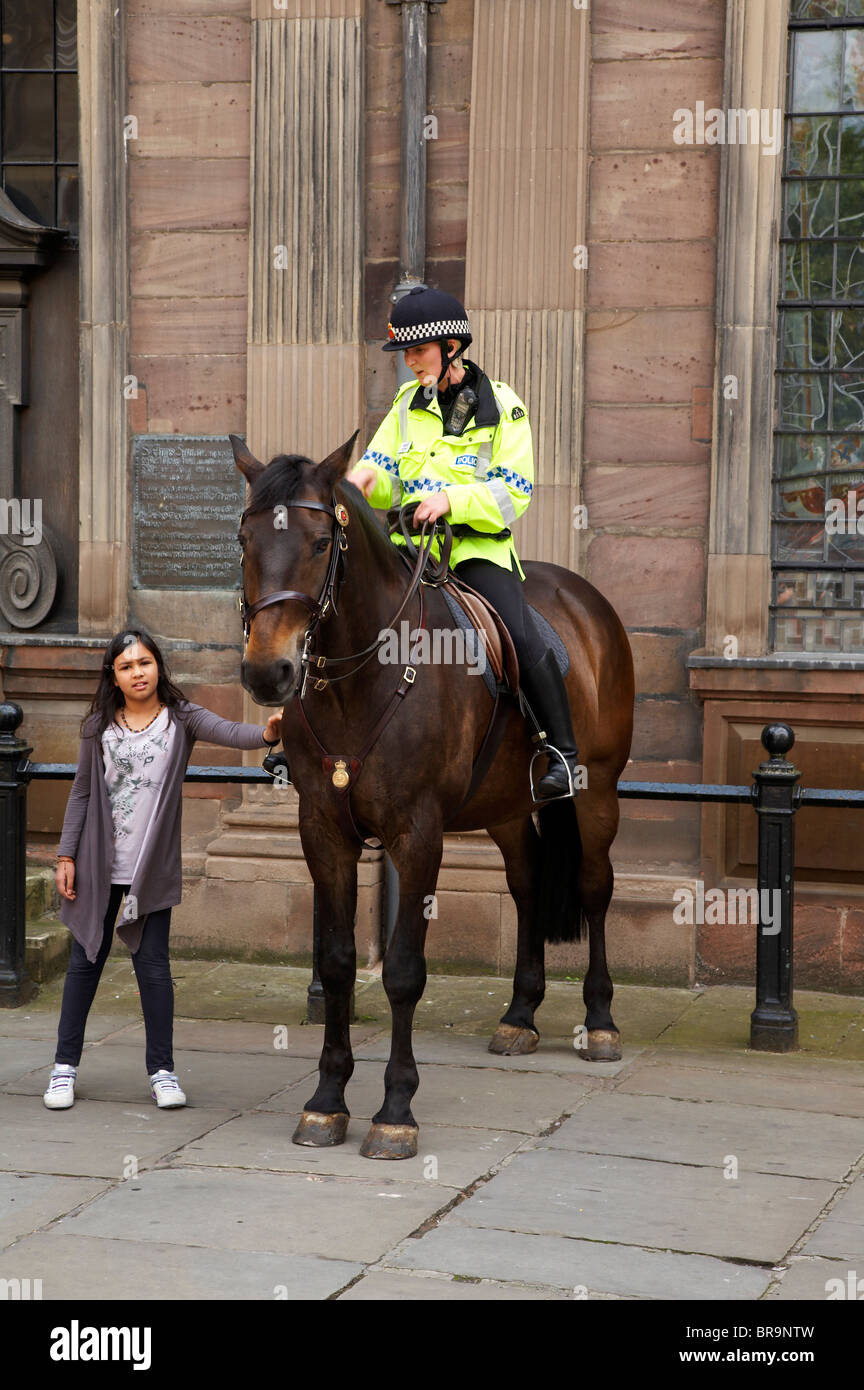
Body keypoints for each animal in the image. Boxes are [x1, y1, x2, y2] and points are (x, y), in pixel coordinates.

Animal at [231, 428, 636, 1156]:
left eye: (319, 543)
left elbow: (403, 971)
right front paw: (327, 1099)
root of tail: (583, 597)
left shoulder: (416, 833)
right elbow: (337, 961)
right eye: (246, 540)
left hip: (597, 793)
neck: (363, 677)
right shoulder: (322, 829)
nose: (267, 671)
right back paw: (520, 1013)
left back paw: (600, 1019)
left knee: (593, 888)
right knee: (528, 884)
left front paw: (396, 1108)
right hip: (507, 806)